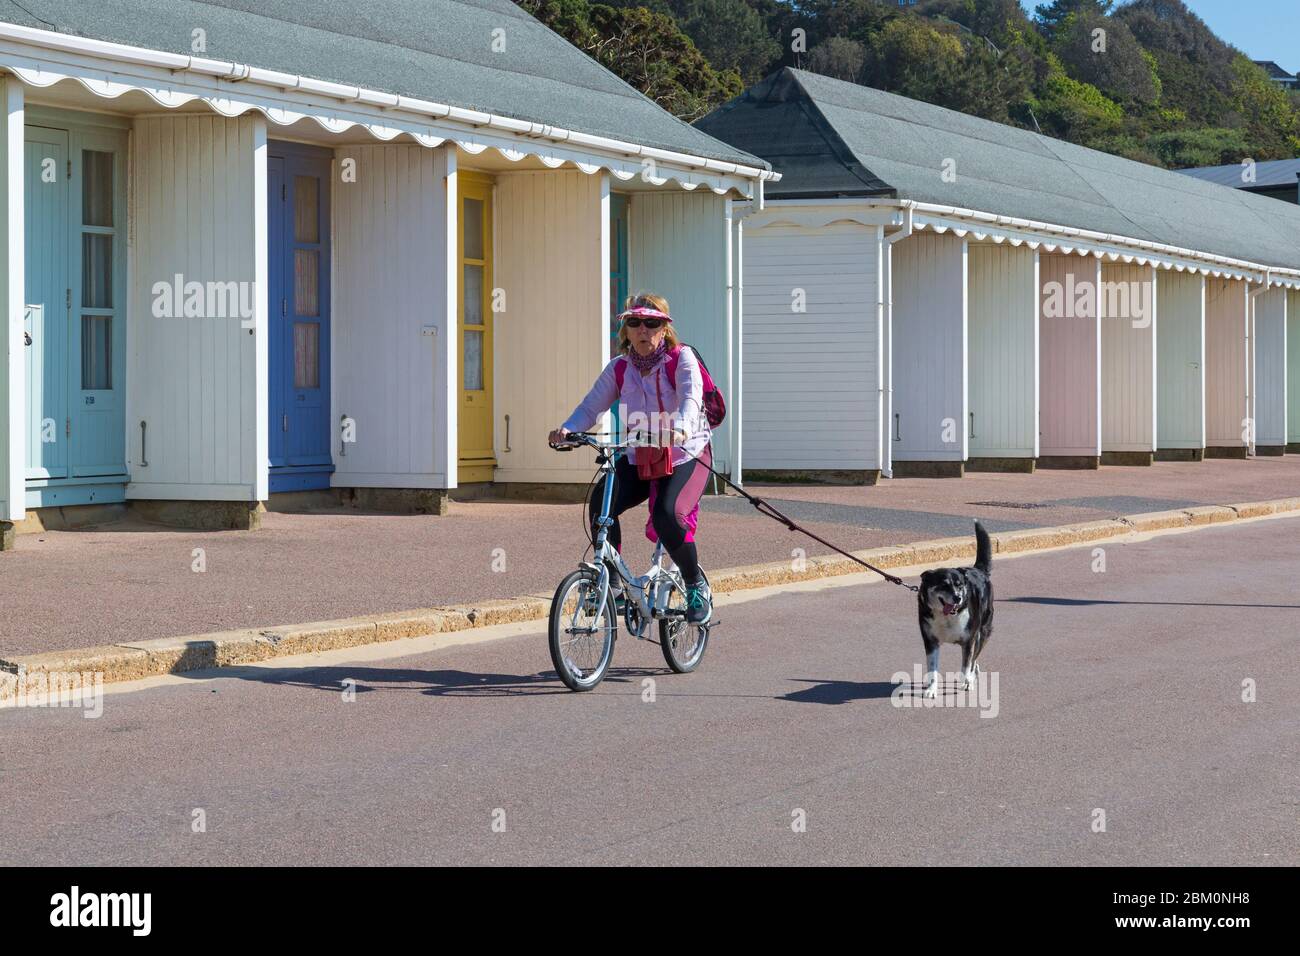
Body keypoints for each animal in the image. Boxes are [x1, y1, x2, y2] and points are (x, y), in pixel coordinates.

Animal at [915, 520, 993, 697]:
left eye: (959, 585)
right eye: (944, 585)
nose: (958, 598)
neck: (947, 618)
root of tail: (978, 569)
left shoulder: (969, 641)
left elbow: (966, 665)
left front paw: (966, 682)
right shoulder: (930, 642)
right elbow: (932, 669)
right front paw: (931, 690)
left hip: (983, 632)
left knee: (974, 658)